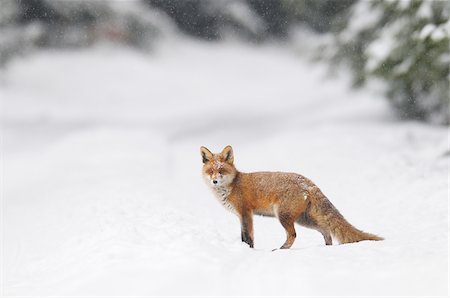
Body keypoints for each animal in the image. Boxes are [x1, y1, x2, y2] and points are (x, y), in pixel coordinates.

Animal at [201, 144, 384, 249]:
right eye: (211, 171)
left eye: (221, 170)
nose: (215, 181)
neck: (232, 185)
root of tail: (307, 182)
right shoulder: (241, 216)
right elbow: (243, 236)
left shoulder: (246, 213)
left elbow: (248, 237)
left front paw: (249, 251)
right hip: (304, 220)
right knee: (326, 230)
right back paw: (326, 248)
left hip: (284, 216)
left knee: (293, 235)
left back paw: (281, 250)